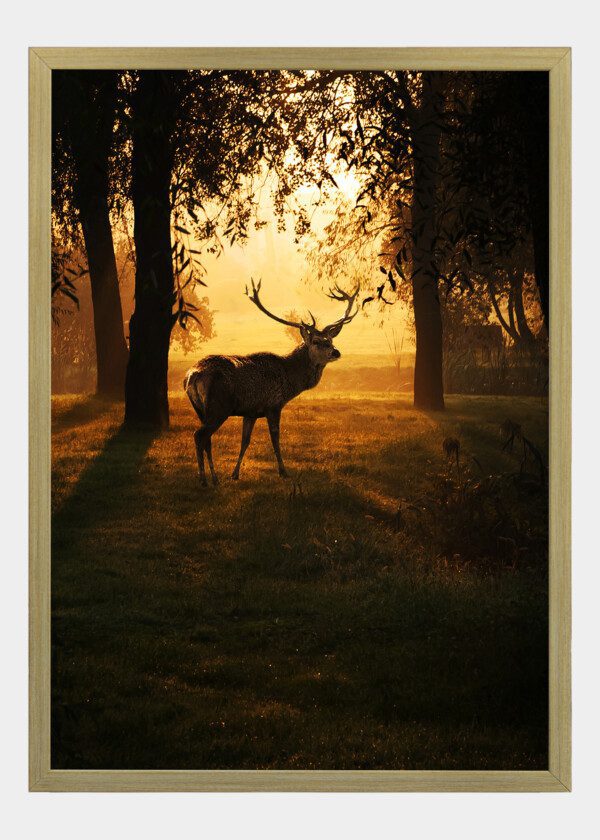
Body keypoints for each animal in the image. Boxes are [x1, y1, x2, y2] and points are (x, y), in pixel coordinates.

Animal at [183, 278, 360, 485]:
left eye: (330, 340)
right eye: (316, 341)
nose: (336, 352)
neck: (290, 379)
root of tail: (193, 375)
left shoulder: (250, 411)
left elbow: (245, 441)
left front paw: (235, 474)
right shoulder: (273, 405)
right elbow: (275, 439)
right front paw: (283, 471)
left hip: (200, 409)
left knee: (206, 439)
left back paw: (214, 478)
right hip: (218, 406)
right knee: (199, 435)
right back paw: (204, 480)